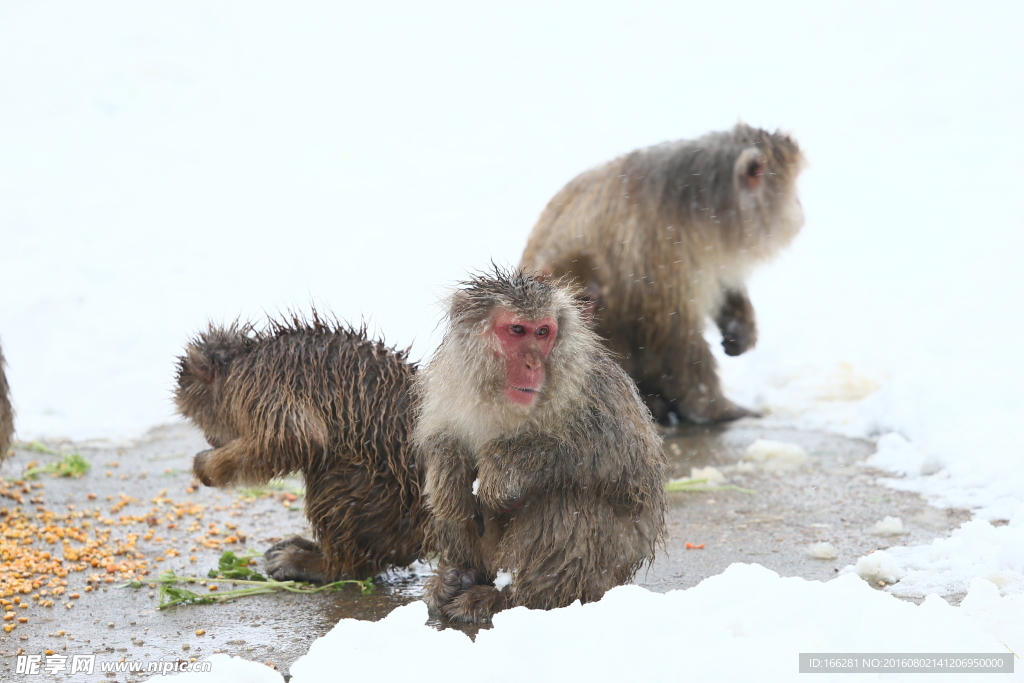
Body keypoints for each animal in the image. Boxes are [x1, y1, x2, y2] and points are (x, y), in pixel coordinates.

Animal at [172, 315, 423, 581]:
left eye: (196, 415)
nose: (210, 438)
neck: (239, 364)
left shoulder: (263, 385)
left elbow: (297, 438)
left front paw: (205, 466)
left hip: (384, 504)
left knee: (333, 478)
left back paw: (318, 565)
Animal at [411, 266, 667, 626]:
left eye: (543, 332)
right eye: (518, 330)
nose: (533, 365)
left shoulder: (595, 390)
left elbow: (623, 462)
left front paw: (502, 469)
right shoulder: (449, 381)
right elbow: (443, 442)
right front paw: (447, 469)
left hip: (607, 570)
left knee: (565, 499)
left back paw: (509, 599)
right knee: (453, 507)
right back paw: (456, 576)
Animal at [520, 122, 806, 421]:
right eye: (794, 180)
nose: (800, 208)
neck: (703, 204)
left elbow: (723, 279)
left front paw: (739, 329)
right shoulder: (663, 244)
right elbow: (672, 329)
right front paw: (714, 408)